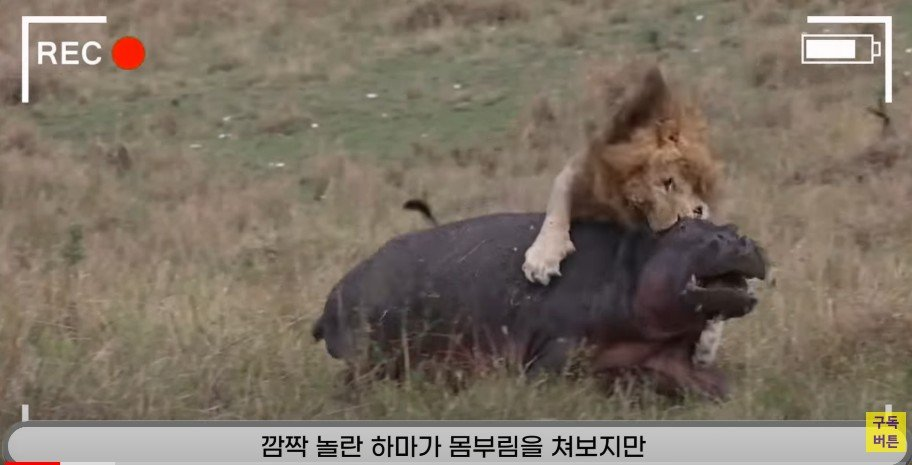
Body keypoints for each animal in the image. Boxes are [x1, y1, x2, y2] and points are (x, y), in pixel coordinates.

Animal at [310, 214, 764, 398]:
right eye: (684, 228)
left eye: (732, 226)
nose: (739, 240)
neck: (634, 262)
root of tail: (334, 294)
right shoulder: (561, 344)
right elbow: (545, 377)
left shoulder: (666, 356)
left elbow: (714, 385)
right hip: (370, 360)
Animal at [520, 63, 728, 364]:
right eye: (666, 183)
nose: (687, 218)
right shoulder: (578, 175)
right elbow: (556, 208)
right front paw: (542, 258)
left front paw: (709, 339)